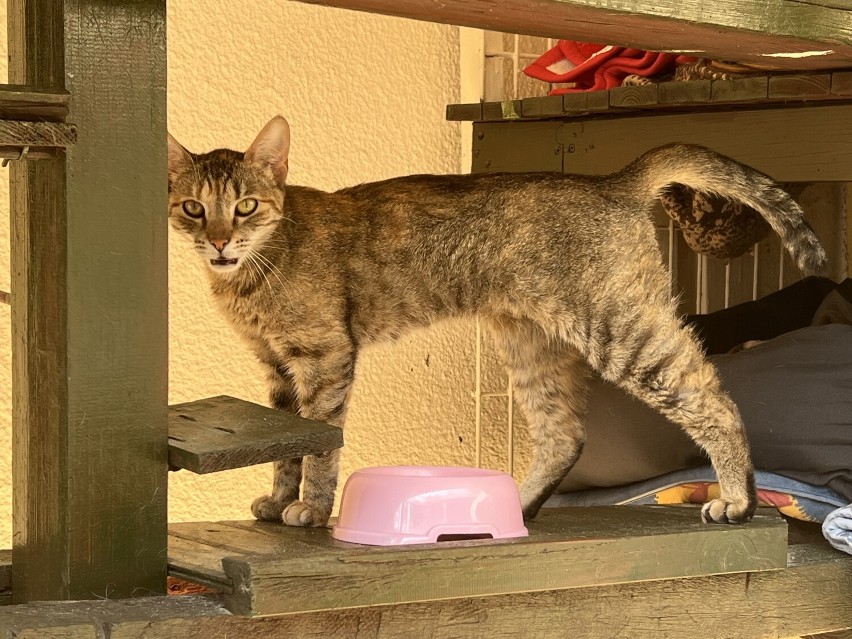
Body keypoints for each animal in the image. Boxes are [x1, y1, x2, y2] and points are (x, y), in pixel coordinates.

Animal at [168, 117, 824, 528]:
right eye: (193, 208)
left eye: (245, 206)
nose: (219, 241)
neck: (255, 271)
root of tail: (613, 182)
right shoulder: (277, 369)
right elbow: (285, 447)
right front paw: (279, 501)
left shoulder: (324, 358)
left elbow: (321, 442)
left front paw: (309, 508)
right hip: (534, 347)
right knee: (565, 436)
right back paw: (518, 505)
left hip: (623, 331)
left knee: (713, 397)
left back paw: (738, 499)